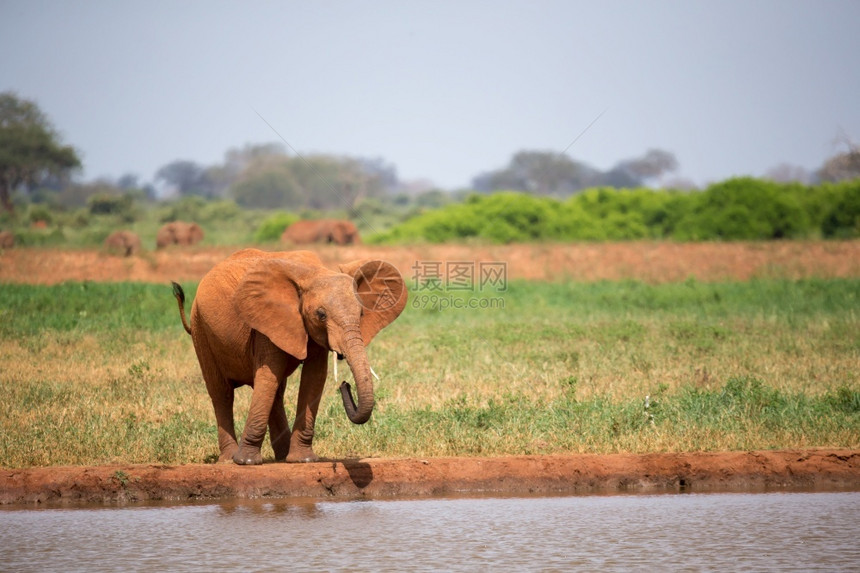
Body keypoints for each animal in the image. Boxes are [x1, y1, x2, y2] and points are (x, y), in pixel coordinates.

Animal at [173, 248, 408, 462]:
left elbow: (314, 376)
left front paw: (302, 460)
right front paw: (246, 462)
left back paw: (282, 456)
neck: (314, 272)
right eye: (321, 315)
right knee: (222, 393)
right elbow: (269, 373)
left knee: (275, 391)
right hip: (201, 329)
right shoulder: (266, 322)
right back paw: (229, 460)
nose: (344, 385)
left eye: (361, 313)